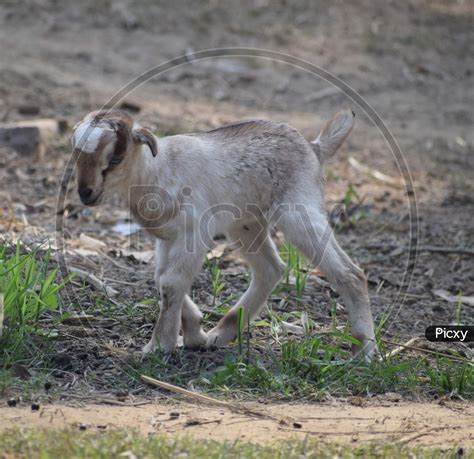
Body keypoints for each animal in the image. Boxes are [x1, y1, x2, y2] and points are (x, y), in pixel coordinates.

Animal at [71, 109, 378, 362]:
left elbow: (171, 282)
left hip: (298, 213)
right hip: (247, 225)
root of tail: (314, 147)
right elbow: (161, 279)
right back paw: (220, 335)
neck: (159, 170)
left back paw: (364, 352)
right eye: (76, 156)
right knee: (271, 269)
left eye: (115, 158)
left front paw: (159, 346)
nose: (86, 193)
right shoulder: (167, 239)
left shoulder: (194, 234)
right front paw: (195, 335)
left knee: (350, 273)